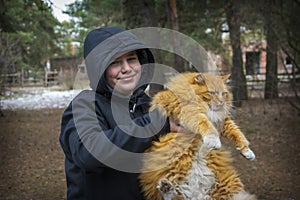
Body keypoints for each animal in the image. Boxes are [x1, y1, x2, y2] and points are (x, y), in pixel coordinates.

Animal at [140, 72, 255, 200]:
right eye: (212, 93)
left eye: (223, 93)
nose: (221, 102)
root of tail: (198, 194)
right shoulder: (189, 112)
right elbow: (205, 124)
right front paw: (213, 140)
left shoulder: (222, 121)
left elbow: (236, 132)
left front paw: (246, 151)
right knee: (169, 195)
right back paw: (166, 188)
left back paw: (167, 188)